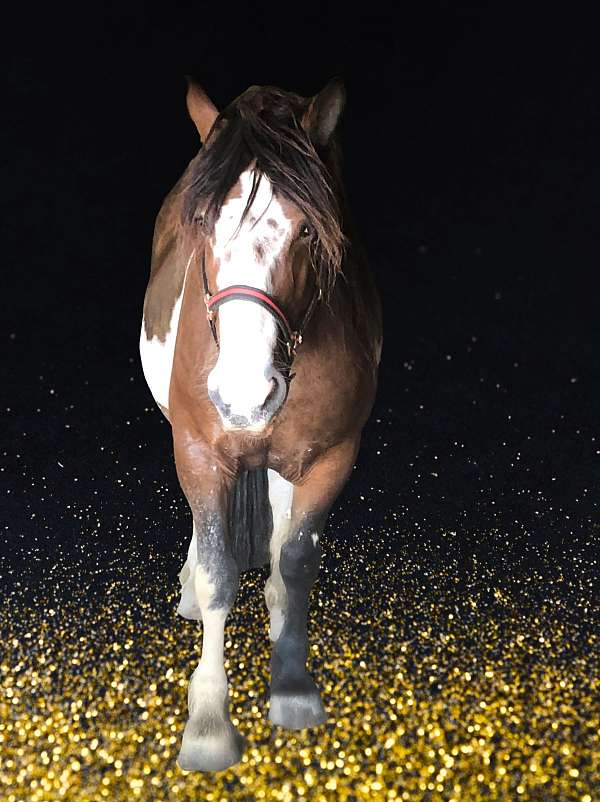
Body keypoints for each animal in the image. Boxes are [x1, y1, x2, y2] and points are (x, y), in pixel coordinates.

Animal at [140, 76, 382, 768]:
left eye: (307, 231)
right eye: (202, 224)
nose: (245, 395)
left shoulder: (331, 456)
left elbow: (295, 562)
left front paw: (292, 685)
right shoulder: (198, 450)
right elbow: (220, 572)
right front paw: (208, 725)